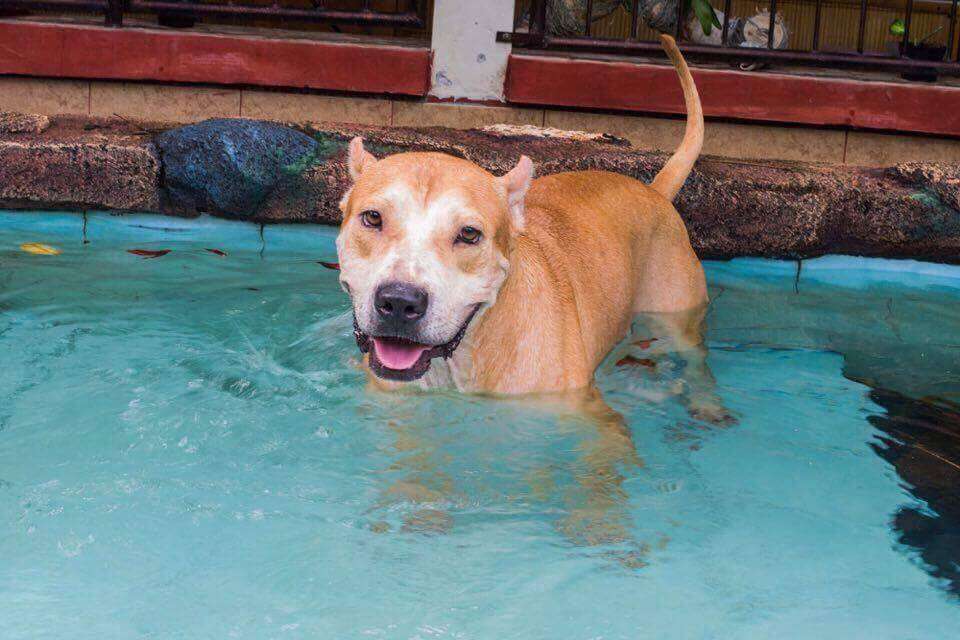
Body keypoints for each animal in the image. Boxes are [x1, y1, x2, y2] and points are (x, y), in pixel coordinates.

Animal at [338, 37, 720, 422]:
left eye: (469, 234)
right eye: (373, 218)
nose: (400, 301)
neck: (465, 357)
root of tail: (654, 190)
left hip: (679, 318)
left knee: (696, 359)